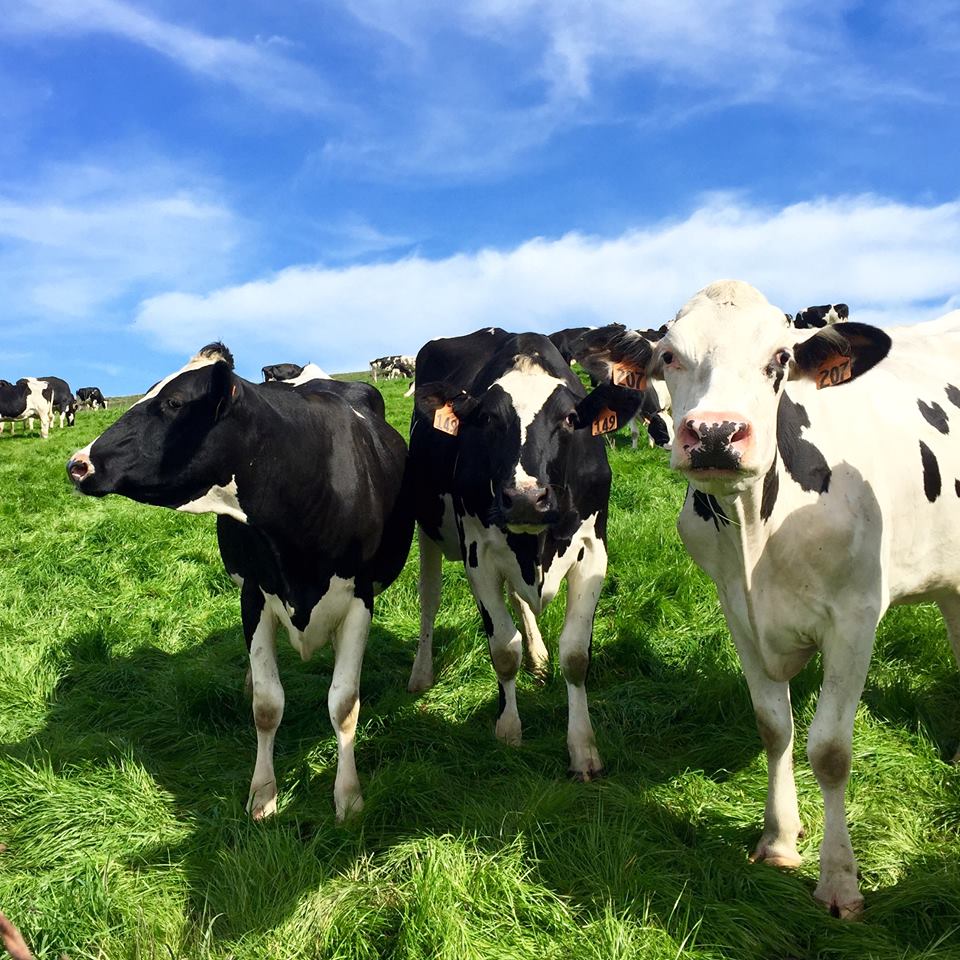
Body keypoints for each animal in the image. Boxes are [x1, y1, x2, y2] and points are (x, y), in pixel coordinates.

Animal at [66, 342, 412, 820]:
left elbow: (343, 703)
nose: (77, 464)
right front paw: (263, 793)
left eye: (173, 402)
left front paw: (348, 796)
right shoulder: (254, 594)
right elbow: (267, 704)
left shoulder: (360, 598)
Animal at [406, 326, 644, 776]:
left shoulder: (594, 551)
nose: (525, 499)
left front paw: (583, 748)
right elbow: (502, 648)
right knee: (430, 598)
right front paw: (508, 730)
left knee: (519, 599)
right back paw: (421, 673)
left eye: (570, 418)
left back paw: (538, 656)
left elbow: (575, 654)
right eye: (486, 419)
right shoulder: (478, 555)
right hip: (425, 525)